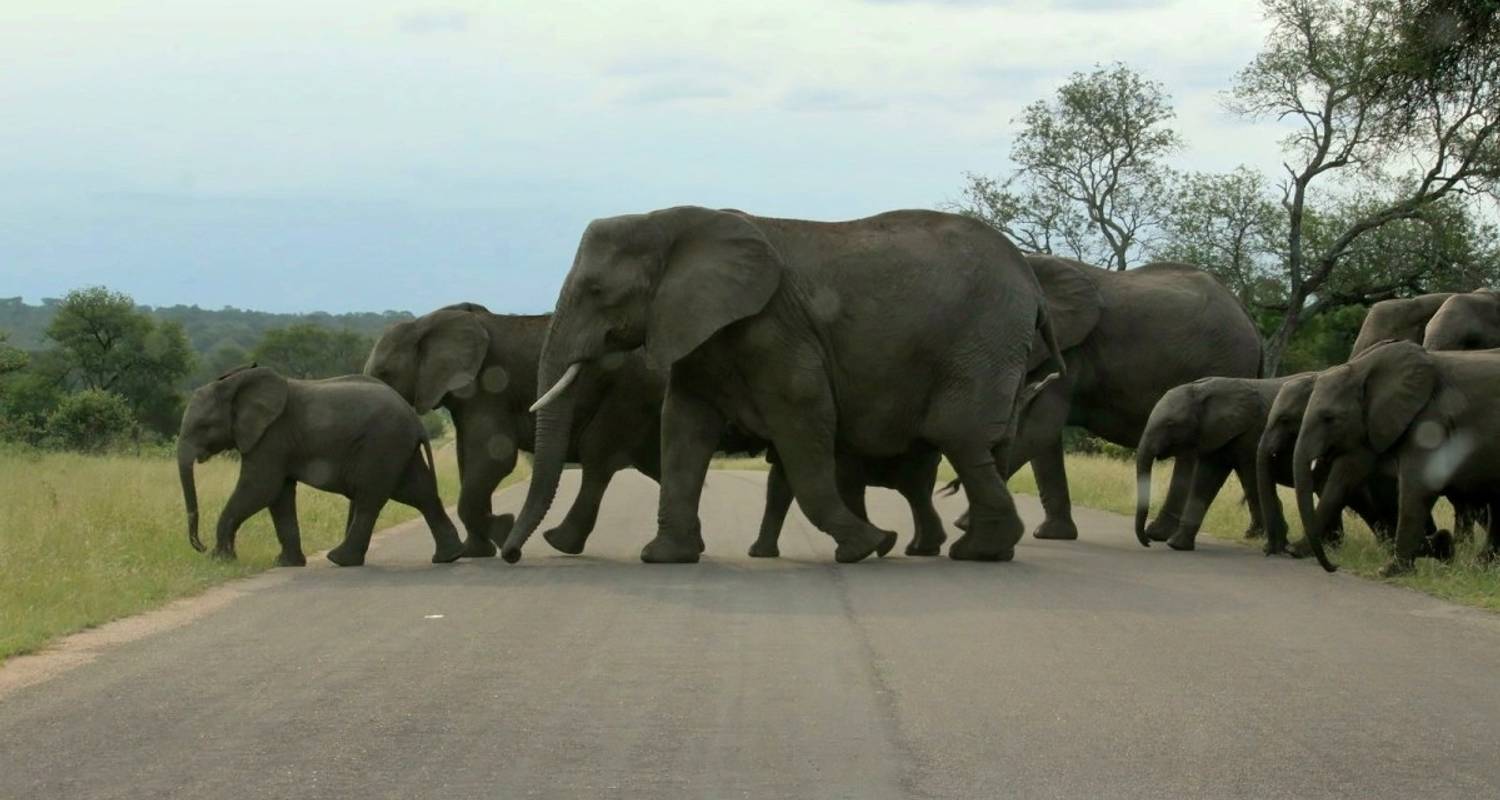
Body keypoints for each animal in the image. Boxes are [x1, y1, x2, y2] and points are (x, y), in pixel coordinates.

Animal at [173, 364, 462, 564]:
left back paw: (339, 559)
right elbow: (279, 496)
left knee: (370, 499)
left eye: (204, 426)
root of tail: (416, 421)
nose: (200, 547)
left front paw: (220, 560)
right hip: (399, 448)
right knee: (421, 493)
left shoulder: (271, 437)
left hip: (383, 444)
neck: (236, 384)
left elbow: (260, 488)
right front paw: (286, 563)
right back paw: (447, 557)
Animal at [498, 207, 1062, 567]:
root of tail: (1033, 286)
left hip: (982, 338)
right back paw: (987, 550)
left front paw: (869, 546)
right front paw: (666, 558)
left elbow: (803, 419)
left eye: (597, 291)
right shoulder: (700, 329)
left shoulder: (775, 328)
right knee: (984, 443)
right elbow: (683, 427)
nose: (510, 553)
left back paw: (976, 552)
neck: (673, 221)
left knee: (959, 435)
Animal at [954, 255, 1260, 543]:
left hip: (1225, 362)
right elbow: (1043, 438)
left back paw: (1161, 534)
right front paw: (1051, 534)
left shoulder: (1069, 349)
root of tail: (1247, 316)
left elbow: (1040, 427)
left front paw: (965, 524)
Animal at [1290, 340, 1500, 576]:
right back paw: (1479, 565)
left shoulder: (1431, 422)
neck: (1364, 368)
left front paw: (1390, 570)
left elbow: (1417, 488)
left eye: (1329, 418)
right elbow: (1341, 481)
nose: (1334, 566)